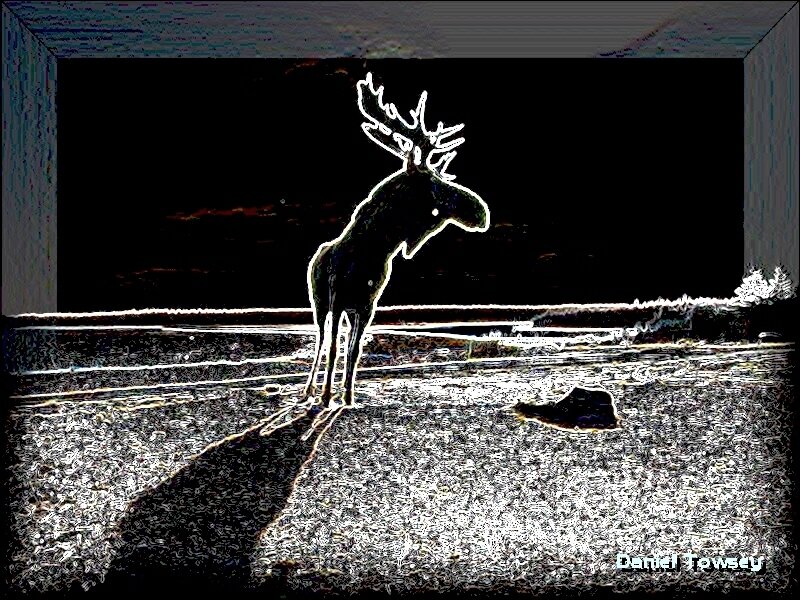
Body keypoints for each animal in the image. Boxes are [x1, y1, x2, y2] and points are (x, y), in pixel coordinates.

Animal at [304, 72, 490, 408]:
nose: (481, 211)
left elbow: (354, 350)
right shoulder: (339, 300)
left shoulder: (366, 305)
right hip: (319, 301)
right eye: (435, 183)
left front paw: (348, 396)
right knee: (322, 340)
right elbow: (335, 347)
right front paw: (326, 396)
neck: (374, 250)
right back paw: (310, 390)